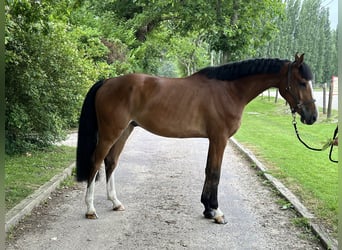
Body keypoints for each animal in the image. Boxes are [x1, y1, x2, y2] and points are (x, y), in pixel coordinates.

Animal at [77, 53, 318, 224]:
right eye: (302, 82)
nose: (312, 116)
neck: (230, 90)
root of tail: (107, 81)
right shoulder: (220, 139)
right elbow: (215, 173)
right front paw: (216, 212)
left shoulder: (214, 139)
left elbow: (209, 170)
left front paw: (208, 209)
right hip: (110, 133)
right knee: (96, 162)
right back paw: (90, 209)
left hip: (125, 131)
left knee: (111, 162)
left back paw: (115, 202)